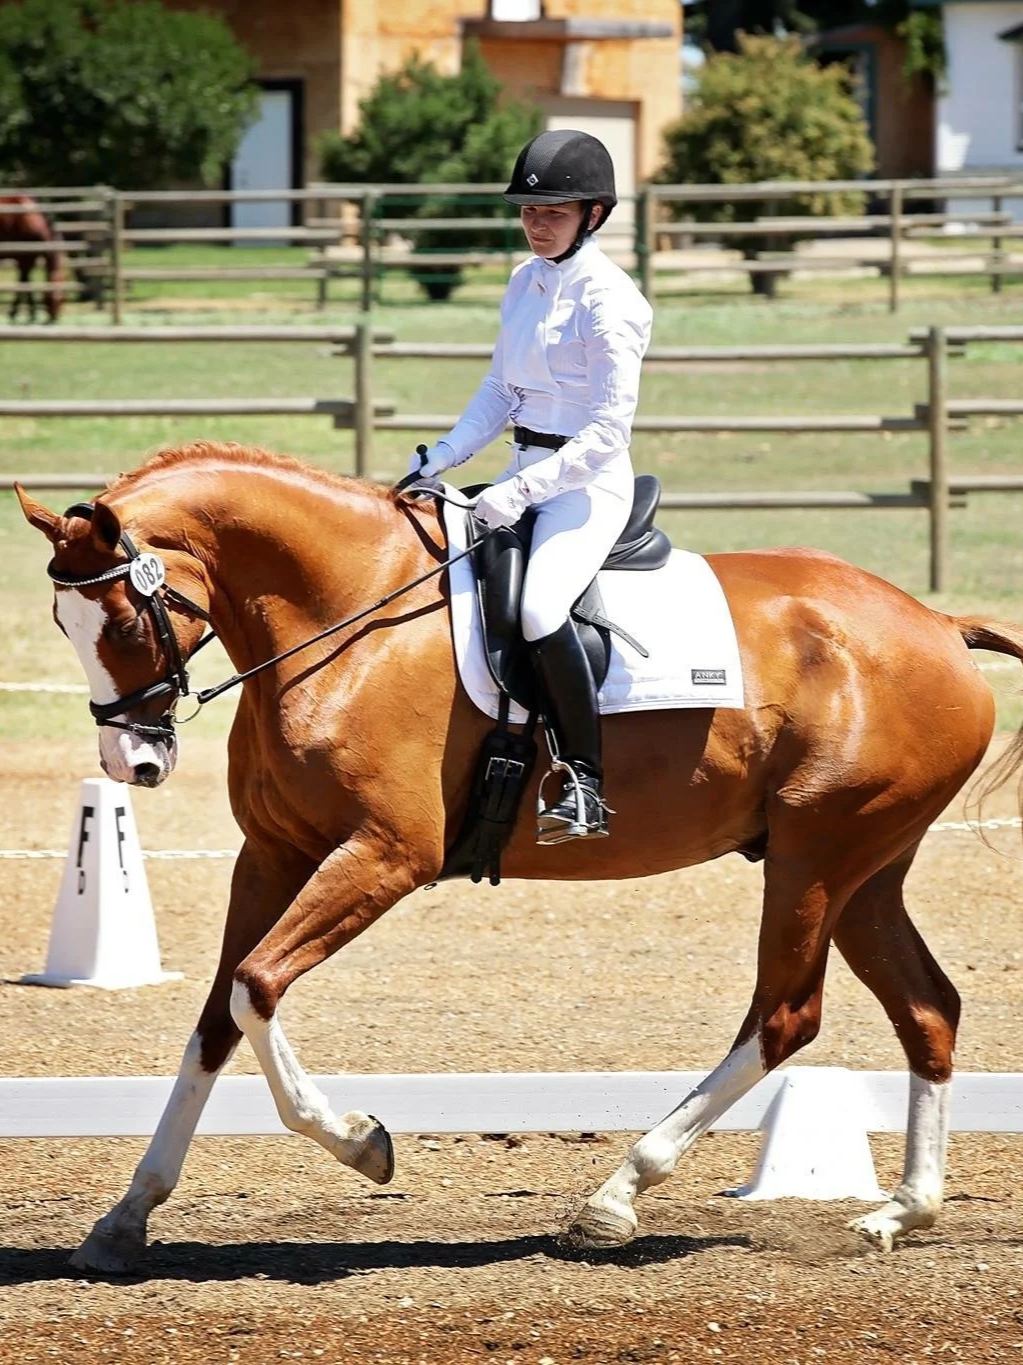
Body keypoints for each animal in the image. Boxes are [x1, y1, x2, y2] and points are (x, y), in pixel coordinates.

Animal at [0, 195, 66, 323]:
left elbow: (26, 282)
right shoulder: (25, 259)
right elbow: (24, 283)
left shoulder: (29, 259)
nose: (53, 319)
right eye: (54, 299)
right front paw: (25, 313)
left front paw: (30, 313)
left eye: (62, 299)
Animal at [16, 439, 1023, 1275]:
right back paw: (899, 1211)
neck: (345, 615)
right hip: (864, 869)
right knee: (926, 1008)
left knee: (784, 1016)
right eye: (64, 626)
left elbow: (256, 986)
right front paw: (126, 1217)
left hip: (816, 855)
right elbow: (217, 1018)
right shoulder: (271, 856)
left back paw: (613, 1199)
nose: (133, 763)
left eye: (124, 620)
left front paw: (363, 1141)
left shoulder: (384, 855)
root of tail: (936, 623)